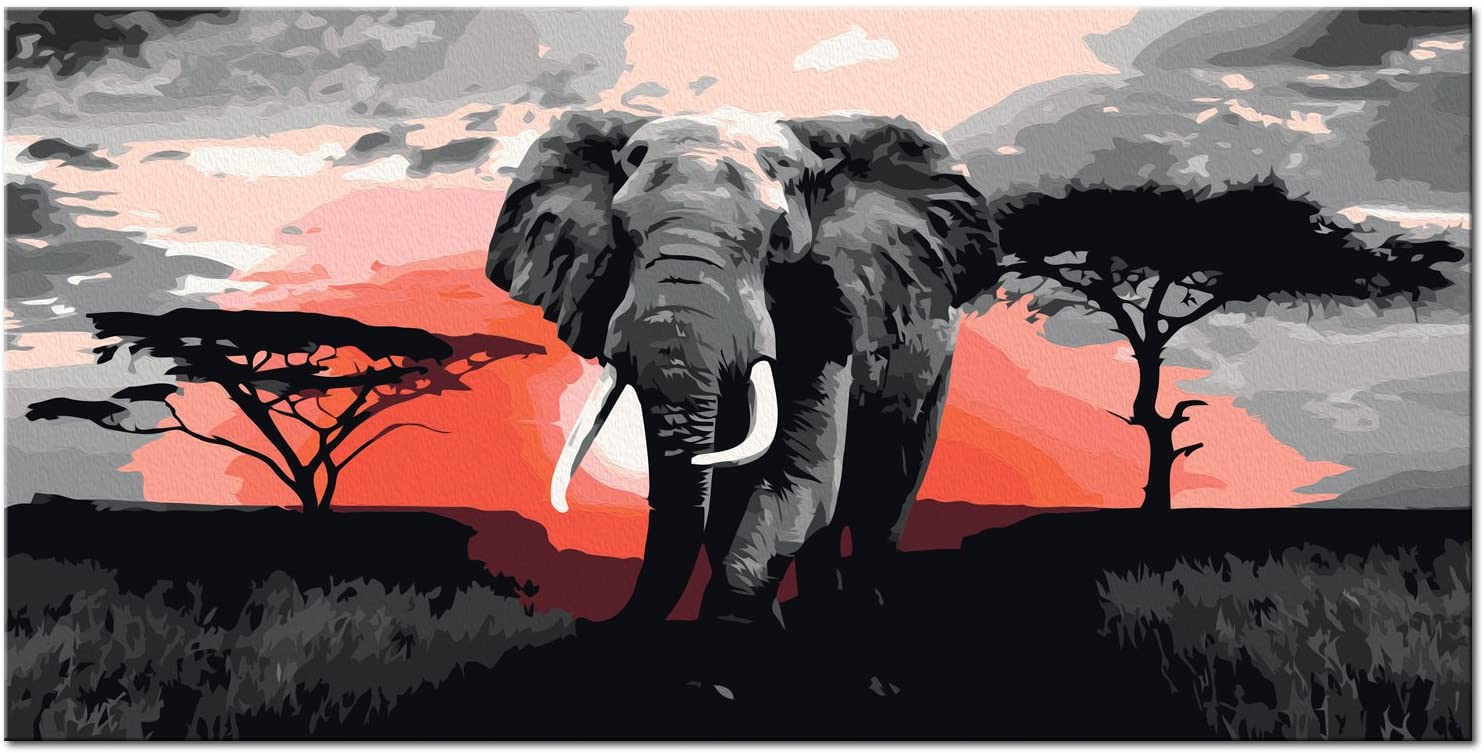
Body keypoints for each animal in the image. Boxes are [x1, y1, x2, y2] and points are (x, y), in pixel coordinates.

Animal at [486, 108, 999, 627]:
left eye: (778, 244)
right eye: (621, 232)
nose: (589, 622)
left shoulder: (826, 316)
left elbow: (796, 478)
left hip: (934, 362)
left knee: (884, 490)